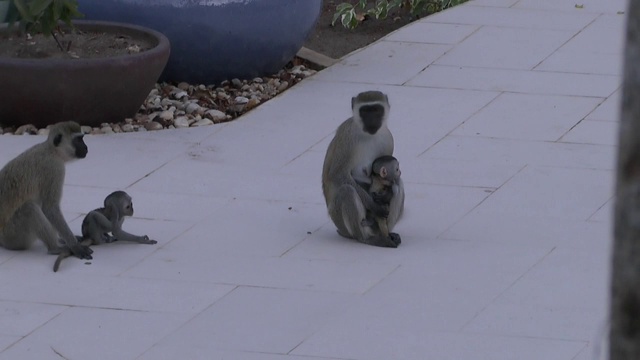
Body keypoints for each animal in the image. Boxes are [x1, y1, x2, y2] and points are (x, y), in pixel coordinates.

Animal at [0, 122, 93, 260]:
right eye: (78, 140)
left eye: (82, 138)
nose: (86, 148)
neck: (52, 151)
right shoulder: (54, 169)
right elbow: (50, 208)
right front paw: (75, 246)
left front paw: (65, 239)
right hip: (12, 236)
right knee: (30, 209)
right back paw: (54, 248)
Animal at [322, 90, 402, 248]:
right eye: (365, 111)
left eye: (376, 110)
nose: (371, 120)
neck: (367, 135)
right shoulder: (347, 137)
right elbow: (338, 174)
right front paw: (374, 206)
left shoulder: (388, 137)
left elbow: (388, 178)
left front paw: (385, 195)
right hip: (338, 219)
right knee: (346, 191)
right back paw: (366, 238)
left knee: (398, 183)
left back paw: (386, 234)